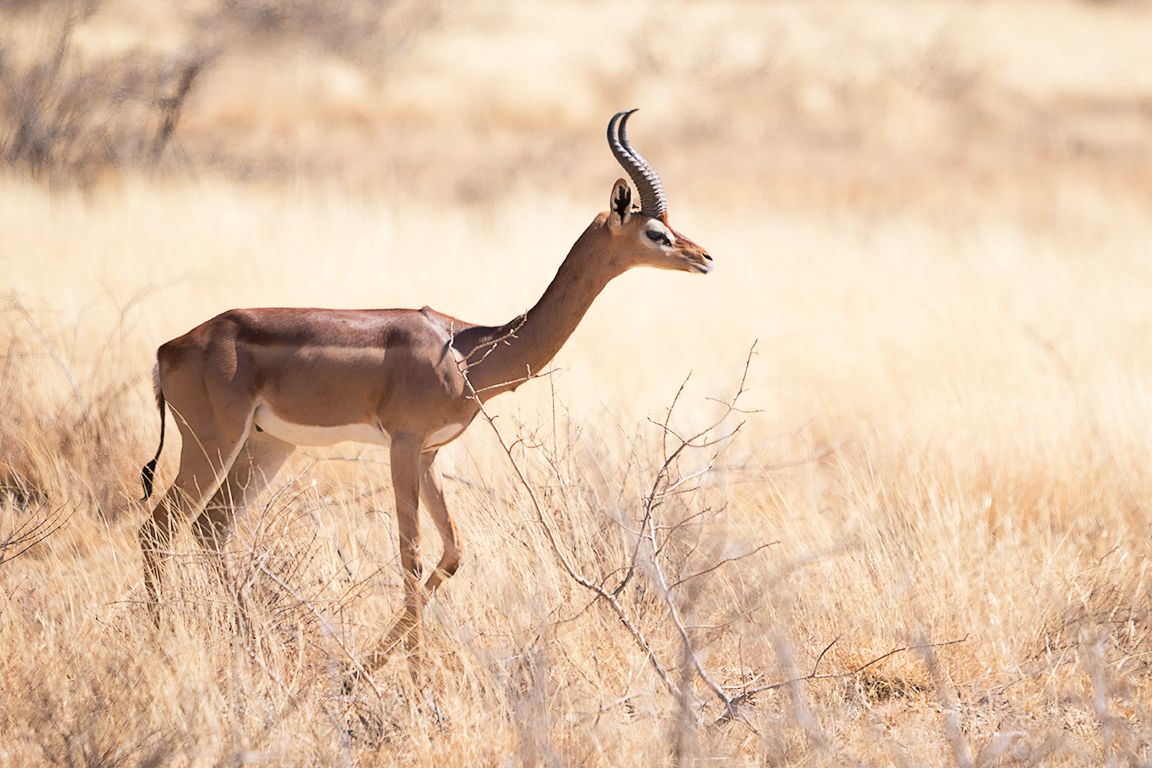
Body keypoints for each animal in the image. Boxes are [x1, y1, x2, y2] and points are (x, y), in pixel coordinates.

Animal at [138, 109, 713, 665]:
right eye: (655, 232)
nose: (705, 257)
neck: (468, 351)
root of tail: (169, 348)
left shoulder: (431, 453)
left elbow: (452, 552)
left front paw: (363, 670)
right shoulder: (403, 443)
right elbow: (409, 554)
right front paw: (408, 678)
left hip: (266, 445)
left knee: (211, 527)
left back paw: (250, 642)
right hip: (212, 442)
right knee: (159, 526)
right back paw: (161, 639)